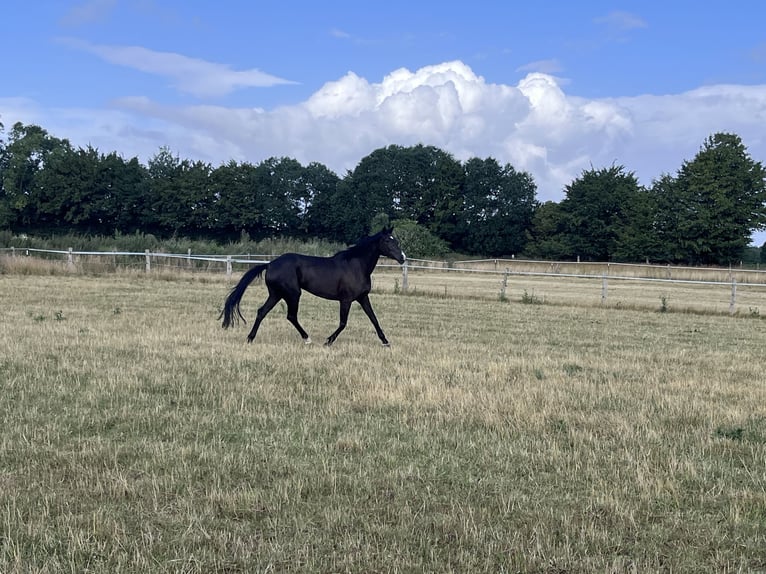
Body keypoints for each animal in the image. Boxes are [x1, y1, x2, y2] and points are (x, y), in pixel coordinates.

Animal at [220, 228, 408, 346]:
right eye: (387, 241)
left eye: (397, 240)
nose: (402, 258)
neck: (357, 265)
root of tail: (270, 264)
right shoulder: (346, 300)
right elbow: (343, 323)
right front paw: (328, 341)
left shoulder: (362, 298)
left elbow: (374, 319)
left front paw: (385, 342)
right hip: (293, 294)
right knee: (291, 316)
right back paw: (307, 339)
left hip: (276, 294)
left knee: (262, 312)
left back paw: (250, 338)